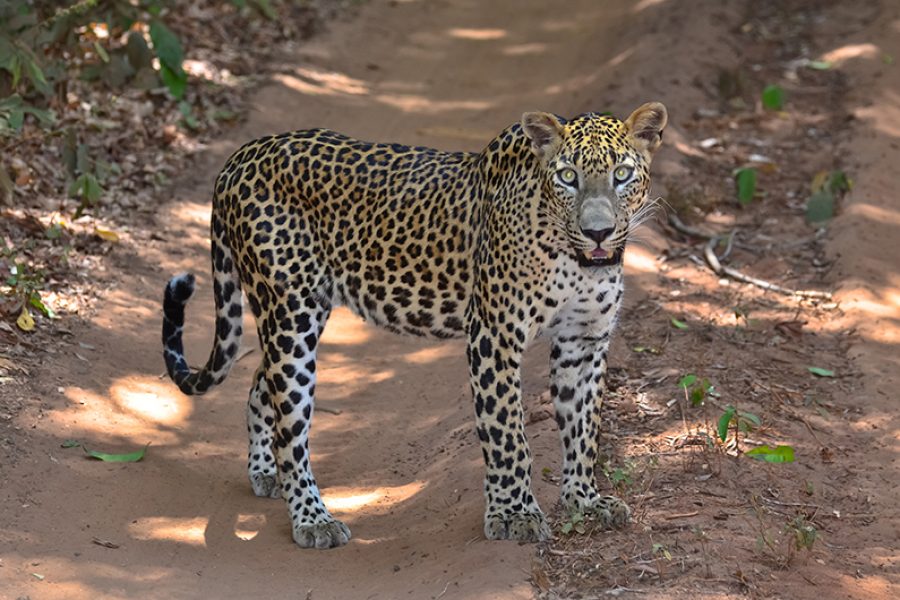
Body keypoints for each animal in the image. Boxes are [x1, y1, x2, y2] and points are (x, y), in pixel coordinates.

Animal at [161, 102, 667, 549]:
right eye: (567, 177)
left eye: (622, 174)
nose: (599, 231)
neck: (576, 260)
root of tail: (242, 154)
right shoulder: (494, 336)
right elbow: (507, 432)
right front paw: (514, 515)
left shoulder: (584, 340)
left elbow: (583, 428)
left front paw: (586, 501)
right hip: (290, 313)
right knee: (292, 425)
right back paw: (312, 518)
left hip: (301, 313)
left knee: (259, 383)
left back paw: (266, 472)